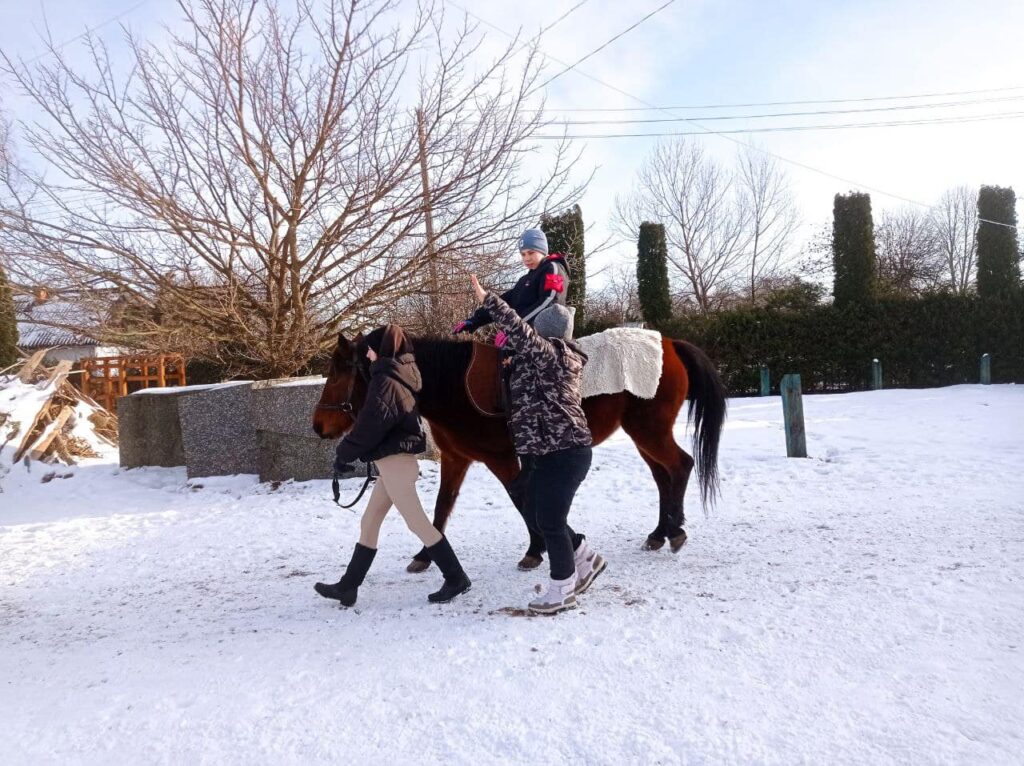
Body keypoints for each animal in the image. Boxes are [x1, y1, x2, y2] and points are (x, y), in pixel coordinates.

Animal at [315, 331, 724, 573]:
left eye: (339, 373)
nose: (319, 425)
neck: (451, 384)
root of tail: (669, 343)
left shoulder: (501, 458)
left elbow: (522, 499)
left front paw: (537, 549)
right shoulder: (457, 459)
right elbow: (442, 506)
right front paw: (424, 555)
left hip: (649, 430)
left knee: (680, 466)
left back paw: (675, 530)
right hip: (642, 433)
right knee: (663, 476)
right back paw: (659, 532)